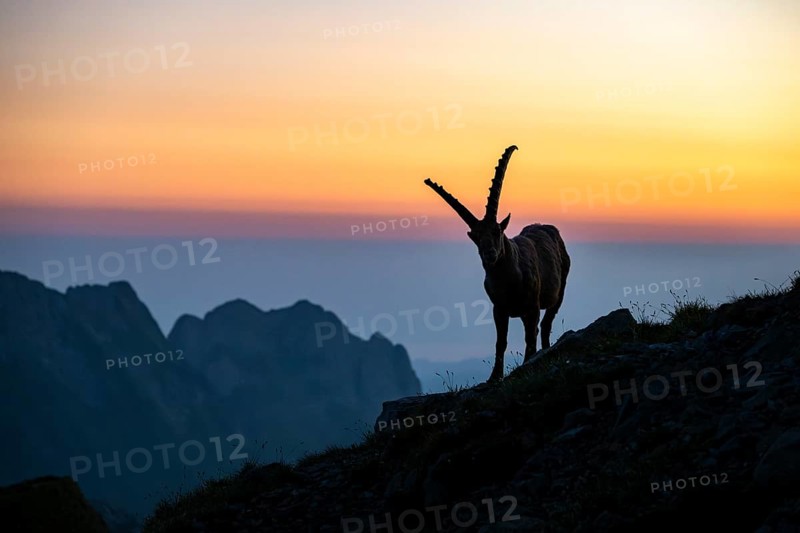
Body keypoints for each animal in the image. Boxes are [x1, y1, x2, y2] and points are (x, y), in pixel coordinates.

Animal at [424, 145, 570, 382]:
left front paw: (527, 364)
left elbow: (530, 337)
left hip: (559, 292)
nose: (489, 255)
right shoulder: (499, 309)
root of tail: (548, 228)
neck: (509, 279)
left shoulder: (532, 306)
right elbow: (500, 342)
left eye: (497, 231)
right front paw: (494, 376)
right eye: (475, 236)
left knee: (545, 325)